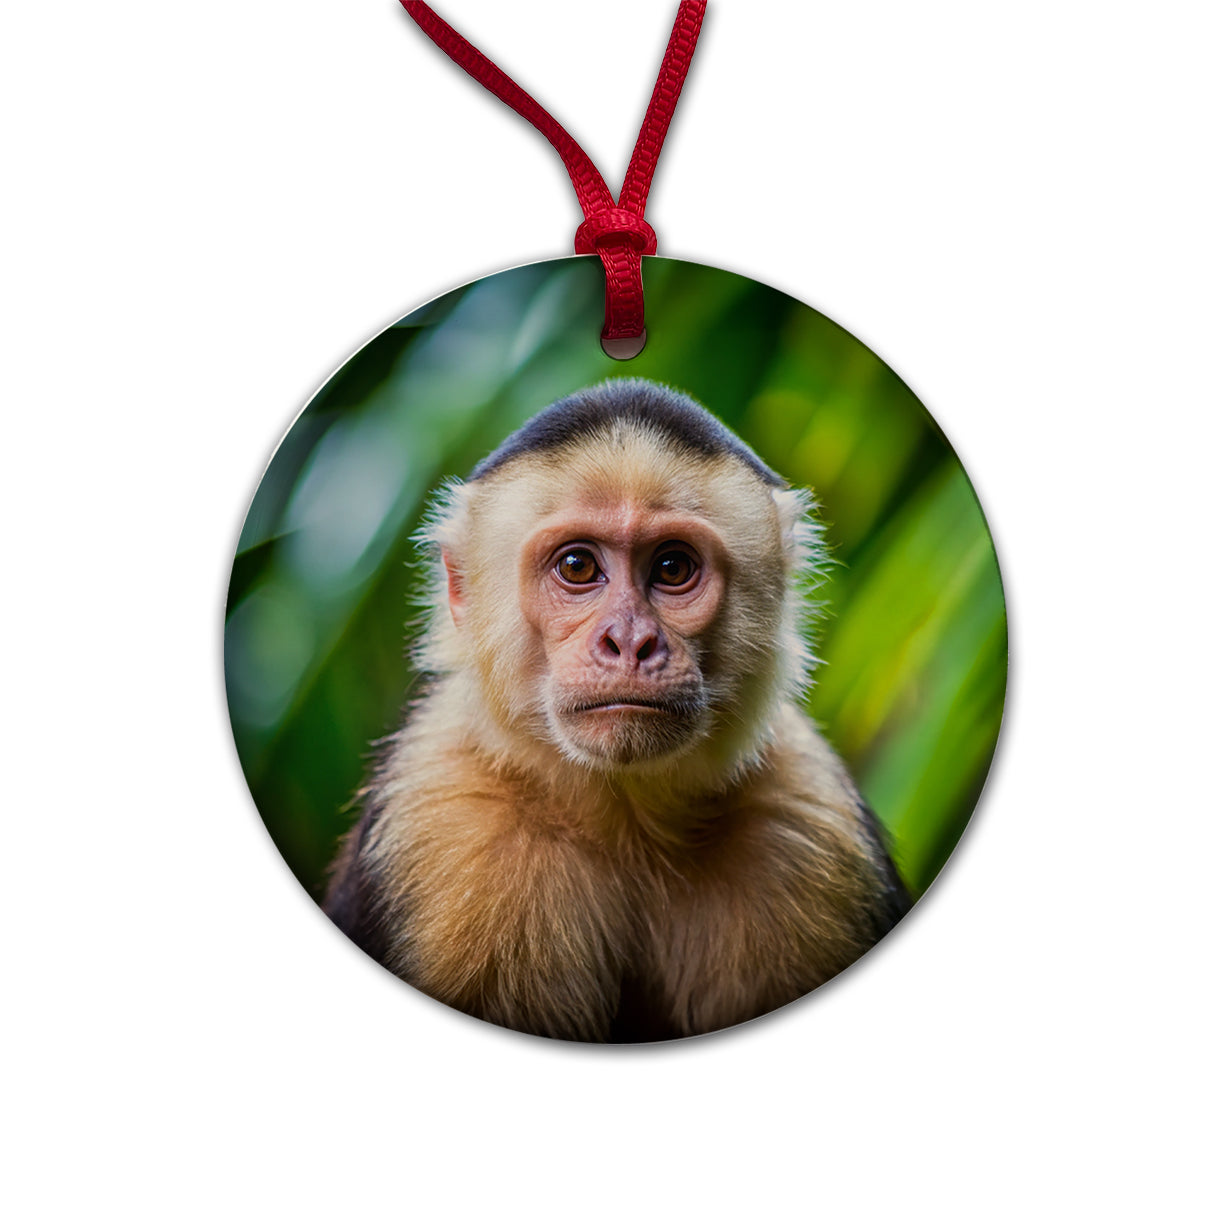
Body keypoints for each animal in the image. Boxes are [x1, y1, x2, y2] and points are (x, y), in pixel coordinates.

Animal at [325, 378, 909, 1042]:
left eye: (673, 567)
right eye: (578, 566)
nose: (629, 641)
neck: (627, 823)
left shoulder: (811, 814)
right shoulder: (438, 813)